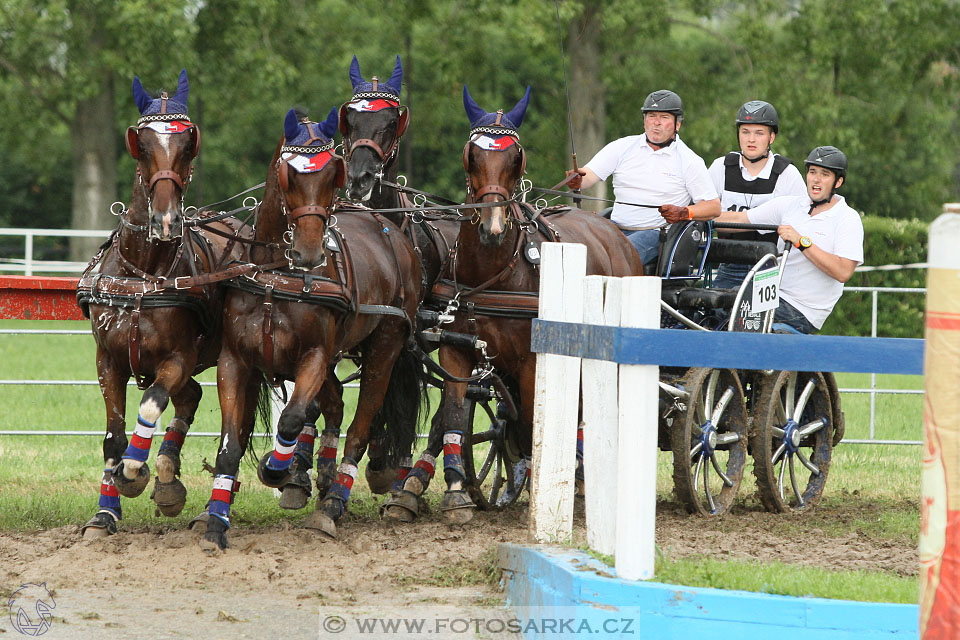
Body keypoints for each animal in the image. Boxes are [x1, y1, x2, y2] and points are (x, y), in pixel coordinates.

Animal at [76, 70, 246, 536]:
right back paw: (169, 477)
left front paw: (135, 470)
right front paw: (106, 512)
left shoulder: (178, 357)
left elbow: (151, 402)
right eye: (144, 144)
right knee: (190, 398)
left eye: (187, 143)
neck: (143, 274)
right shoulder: (107, 359)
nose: (166, 221)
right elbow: (114, 435)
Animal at [202, 106, 424, 552]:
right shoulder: (235, 361)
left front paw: (276, 469)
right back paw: (321, 475)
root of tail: (393, 233)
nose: (309, 252)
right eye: (288, 174)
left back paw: (333, 501)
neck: (276, 275)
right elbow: (231, 444)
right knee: (335, 405)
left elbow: (292, 419)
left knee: (361, 425)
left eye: (330, 176)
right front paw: (217, 522)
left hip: (386, 344)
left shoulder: (314, 357)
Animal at [382, 86, 644, 524]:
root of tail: (614, 232)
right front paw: (457, 493)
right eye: (472, 154)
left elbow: (536, 420)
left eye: (516, 157)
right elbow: (455, 415)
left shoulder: (533, 361)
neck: (497, 271)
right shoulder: (457, 350)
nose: (492, 227)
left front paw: (540, 491)